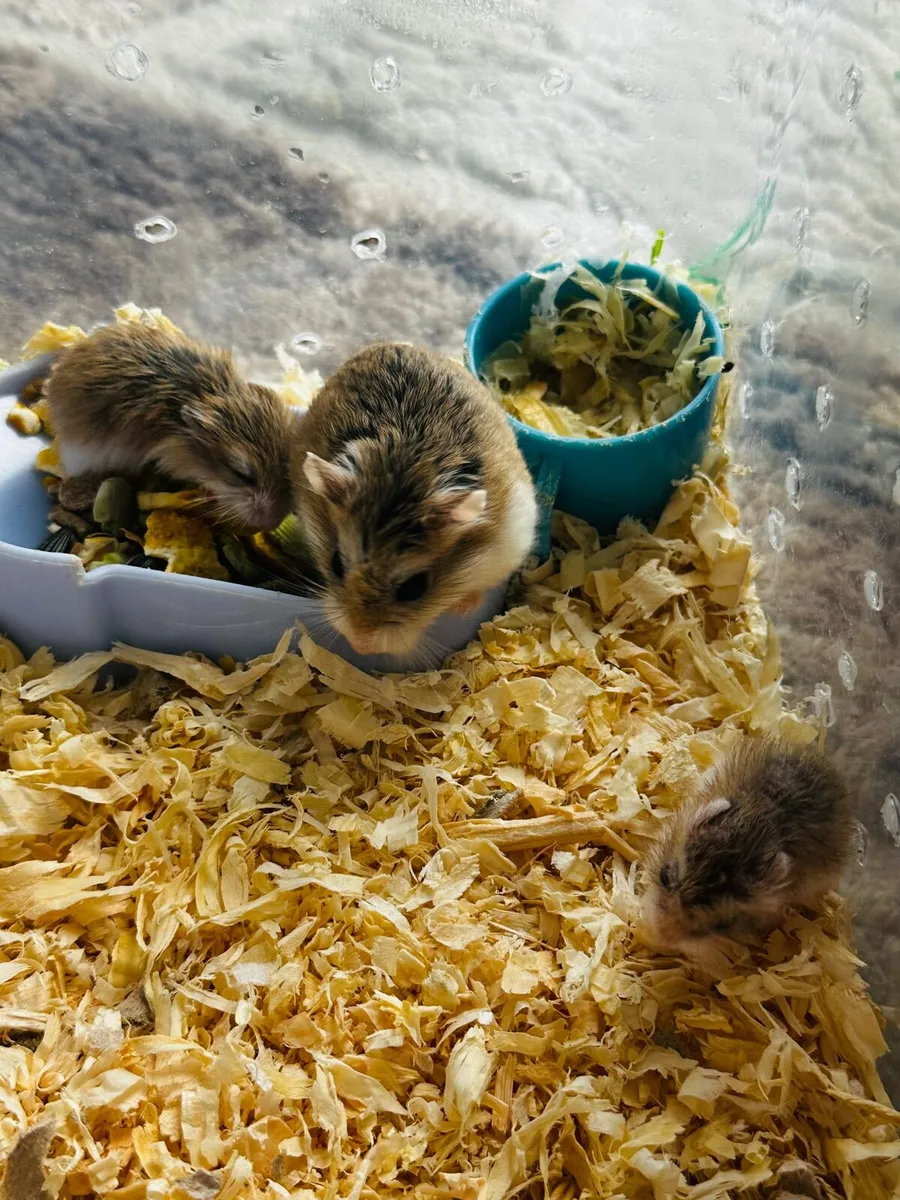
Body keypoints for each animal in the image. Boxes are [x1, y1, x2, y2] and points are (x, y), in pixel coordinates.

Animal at [289, 342, 538, 657]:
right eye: (335, 564)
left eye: (415, 588)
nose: (361, 646)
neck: (404, 477)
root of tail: (399, 344)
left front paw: (464, 608)